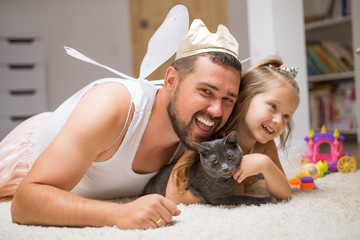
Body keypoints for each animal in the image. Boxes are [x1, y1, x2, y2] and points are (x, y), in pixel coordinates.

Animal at [143, 131, 276, 206]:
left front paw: (259, 174)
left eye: (229, 156)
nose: (225, 168)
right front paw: (268, 200)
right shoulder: (220, 199)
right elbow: (245, 198)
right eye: (215, 161)